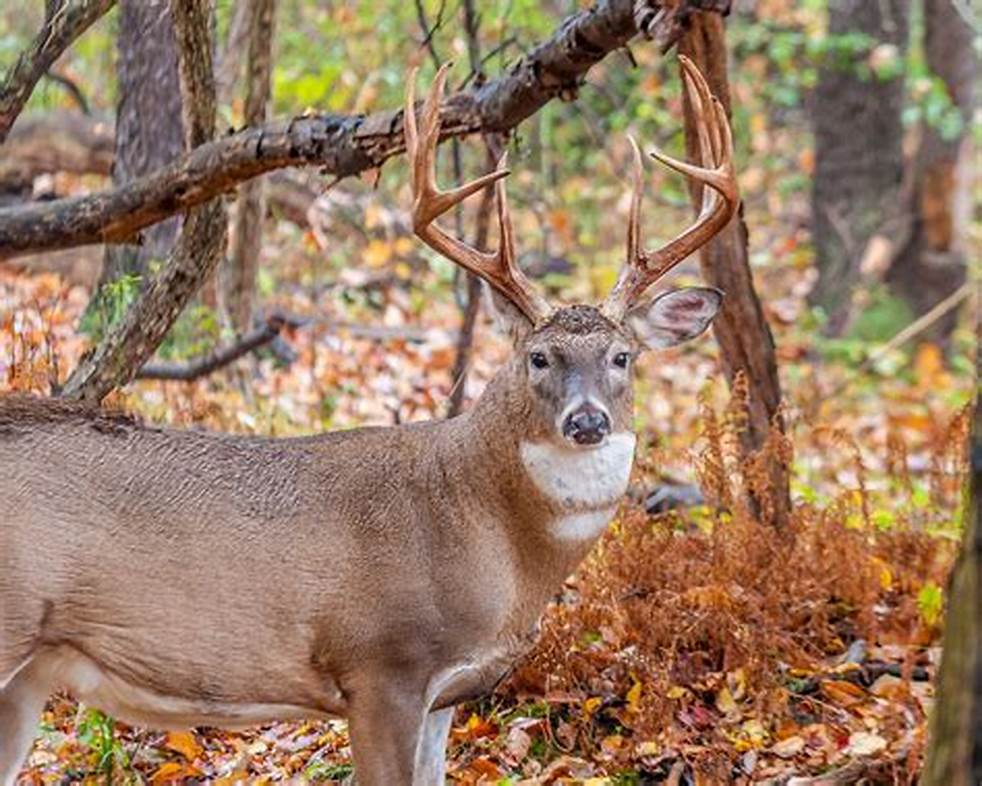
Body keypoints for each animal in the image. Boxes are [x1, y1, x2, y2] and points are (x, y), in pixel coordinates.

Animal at [1, 56, 736, 784]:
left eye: (622, 356)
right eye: (538, 357)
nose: (588, 422)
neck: (486, 529)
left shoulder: (447, 692)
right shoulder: (382, 664)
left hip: (31, 675)